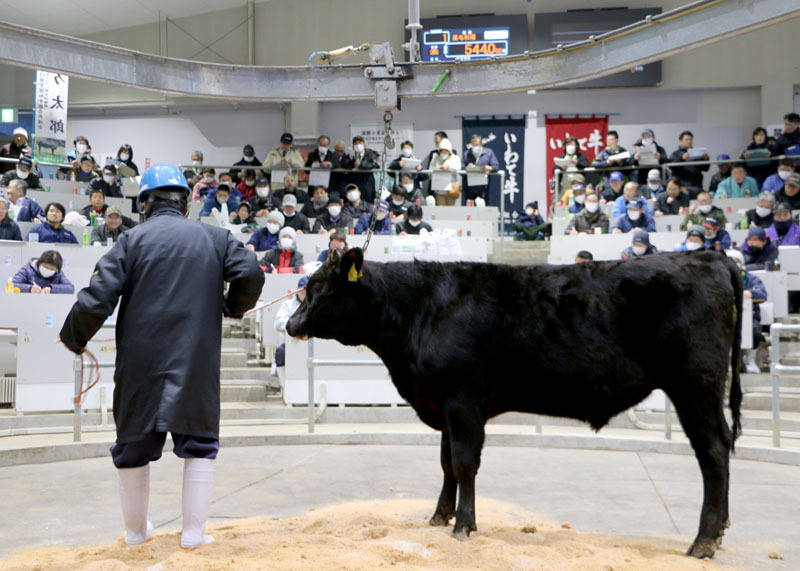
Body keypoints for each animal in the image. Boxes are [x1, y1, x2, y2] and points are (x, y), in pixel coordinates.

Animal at [288, 249, 744, 560]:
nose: (291, 324)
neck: (421, 308)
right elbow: (447, 463)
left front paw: (464, 525)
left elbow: (465, 463)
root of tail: (708, 256)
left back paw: (704, 541)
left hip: (695, 386)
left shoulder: (464, 399)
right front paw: (439, 516)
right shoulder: (445, 405)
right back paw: (718, 531)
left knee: (713, 451)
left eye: (318, 288)